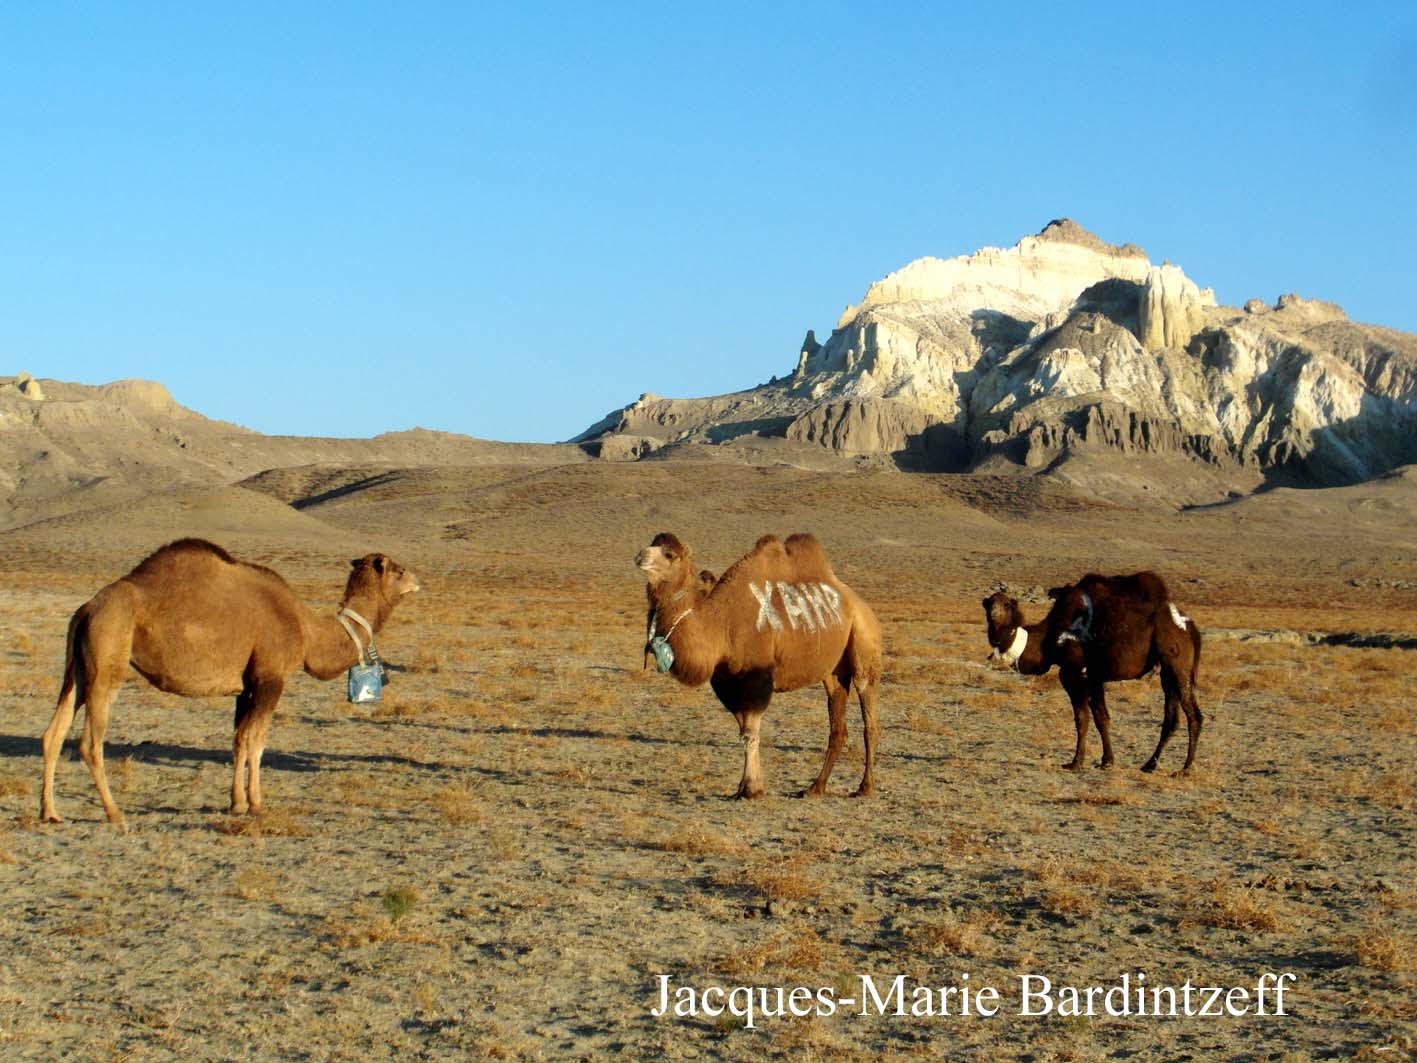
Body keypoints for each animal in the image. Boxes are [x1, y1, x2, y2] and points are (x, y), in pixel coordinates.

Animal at [39, 538, 419, 826]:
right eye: (398, 570)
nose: (417, 579)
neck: (306, 628)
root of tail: (87, 608)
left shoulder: (246, 685)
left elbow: (239, 740)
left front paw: (236, 802)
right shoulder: (270, 678)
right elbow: (257, 741)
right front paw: (255, 803)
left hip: (78, 669)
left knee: (53, 732)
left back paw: (50, 812)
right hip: (107, 662)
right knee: (90, 742)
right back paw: (114, 811)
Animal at [636, 532, 882, 798]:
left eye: (669, 554)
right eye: (652, 544)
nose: (640, 556)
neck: (722, 624)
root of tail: (862, 606)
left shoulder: (757, 676)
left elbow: (751, 731)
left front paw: (751, 789)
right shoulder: (727, 681)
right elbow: (743, 729)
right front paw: (745, 787)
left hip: (865, 647)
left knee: (869, 721)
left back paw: (865, 787)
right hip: (833, 671)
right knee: (838, 726)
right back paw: (815, 787)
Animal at [983, 571, 1202, 773]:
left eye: (1007, 605)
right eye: (988, 604)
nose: (993, 612)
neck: (1049, 637)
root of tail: (1189, 627)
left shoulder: (1074, 674)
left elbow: (1082, 719)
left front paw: (1075, 762)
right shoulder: (1094, 677)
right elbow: (1101, 718)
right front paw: (1107, 761)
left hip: (1178, 667)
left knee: (1194, 716)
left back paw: (1185, 769)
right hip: (1167, 672)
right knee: (1171, 718)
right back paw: (1150, 764)